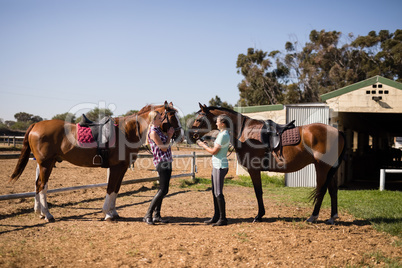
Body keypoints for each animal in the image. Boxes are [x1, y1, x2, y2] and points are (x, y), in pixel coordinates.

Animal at [9, 101, 182, 222]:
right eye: (172, 116)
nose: (180, 135)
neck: (126, 131)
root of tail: (36, 125)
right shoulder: (116, 168)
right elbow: (111, 189)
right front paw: (107, 213)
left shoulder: (122, 168)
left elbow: (116, 189)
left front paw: (113, 212)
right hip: (46, 164)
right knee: (42, 186)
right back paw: (47, 214)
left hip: (45, 163)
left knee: (38, 185)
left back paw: (39, 212)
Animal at [188, 103, 346, 225]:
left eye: (199, 119)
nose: (190, 135)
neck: (244, 132)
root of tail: (338, 131)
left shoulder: (254, 170)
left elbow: (258, 192)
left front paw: (259, 216)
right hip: (330, 169)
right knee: (333, 190)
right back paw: (332, 218)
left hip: (322, 167)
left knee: (322, 190)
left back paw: (313, 217)